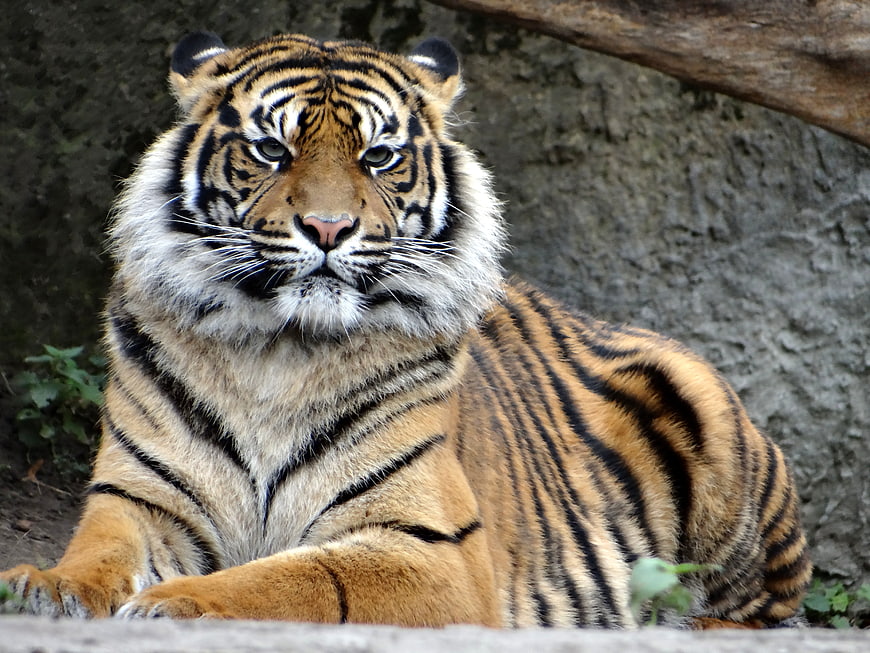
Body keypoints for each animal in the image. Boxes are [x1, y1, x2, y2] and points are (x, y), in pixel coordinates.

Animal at [0, 31, 811, 628]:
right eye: (271, 150)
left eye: (379, 156)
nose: (329, 227)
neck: (278, 352)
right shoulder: (141, 498)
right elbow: (100, 552)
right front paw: (45, 585)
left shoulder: (430, 548)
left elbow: (288, 580)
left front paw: (176, 602)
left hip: (711, 422)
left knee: (762, 612)